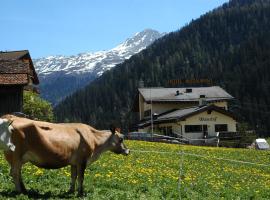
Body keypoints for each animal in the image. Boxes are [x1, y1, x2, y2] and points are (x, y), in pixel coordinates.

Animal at [0, 115, 130, 195]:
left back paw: (24, 190)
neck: (94, 139)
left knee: (17, 172)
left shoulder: (74, 162)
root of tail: (11, 116)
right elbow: (81, 177)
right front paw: (80, 193)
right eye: (121, 139)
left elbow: (73, 176)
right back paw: (19, 192)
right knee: (15, 172)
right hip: (16, 154)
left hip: (17, 157)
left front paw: (71, 191)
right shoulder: (82, 160)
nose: (128, 151)